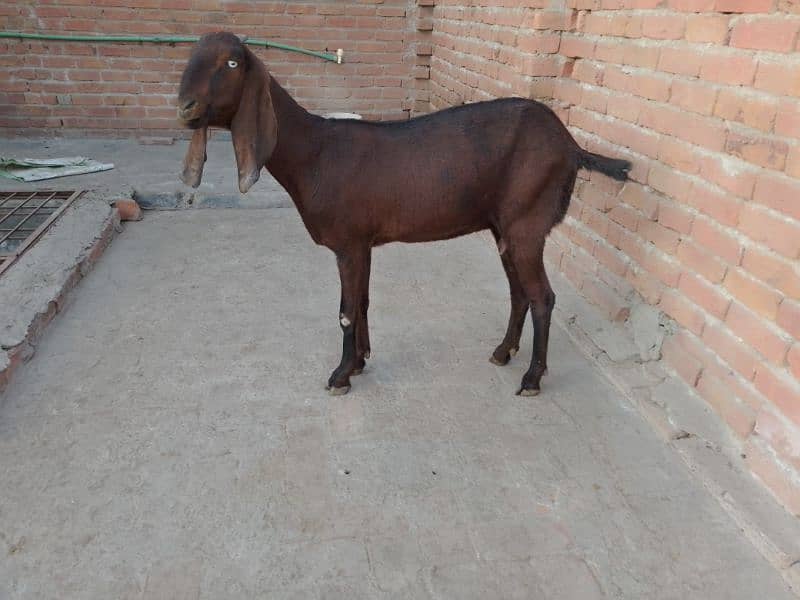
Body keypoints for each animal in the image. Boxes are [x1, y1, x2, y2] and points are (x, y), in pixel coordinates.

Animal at [177, 32, 632, 398]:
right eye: (191, 56)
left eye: (232, 63)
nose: (185, 106)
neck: (316, 154)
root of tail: (571, 146)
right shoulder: (362, 244)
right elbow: (361, 302)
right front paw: (360, 362)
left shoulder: (348, 243)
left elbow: (345, 311)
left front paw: (340, 375)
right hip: (504, 226)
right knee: (519, 292)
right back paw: (503, 353)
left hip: (527, 223)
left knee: (543, 298)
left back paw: (532, 379)